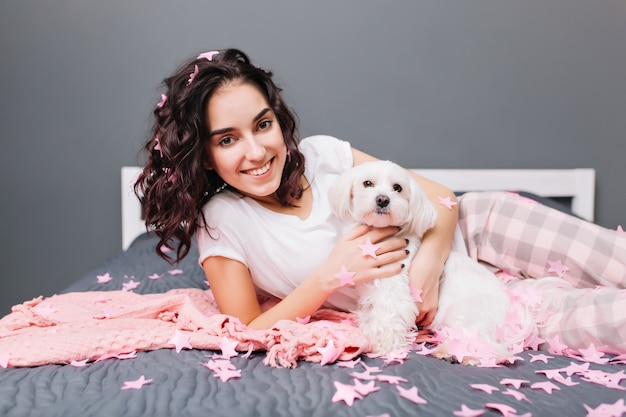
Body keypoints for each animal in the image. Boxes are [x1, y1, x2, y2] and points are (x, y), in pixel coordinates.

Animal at [326, 161, 532, 362]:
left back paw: (457, 353)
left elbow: (389, 314)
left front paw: (385, 344)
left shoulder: (393, 286)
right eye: (367, 183)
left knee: (493, 349)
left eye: (397, 188)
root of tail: (513, 309)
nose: (383, 199)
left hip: (464, 313)